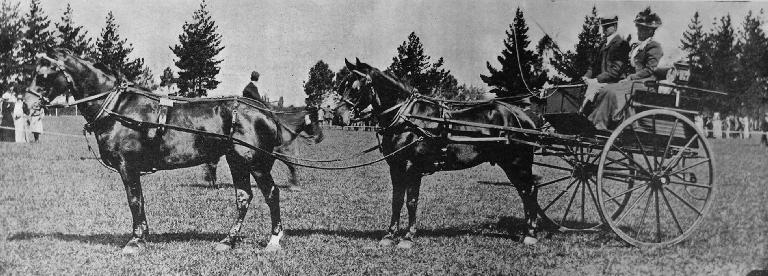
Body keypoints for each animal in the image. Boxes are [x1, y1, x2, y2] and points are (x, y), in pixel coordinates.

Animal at [24, 48, 324, 253]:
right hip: (237, 161)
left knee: (271, 194)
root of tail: (266, 112)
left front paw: (136, 240)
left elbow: (135, 201)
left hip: (256, 163)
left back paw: (274, 239)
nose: (27, 104)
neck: (119, 107)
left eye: (43, 74)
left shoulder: (127, 166)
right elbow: (140, 201)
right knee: (243, 197)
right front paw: (143, 236)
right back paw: (228, 240)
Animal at [342, 58, 540, 248]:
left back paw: (530, 234)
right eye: (344, 83)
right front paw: (390, 235)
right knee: (526, 191)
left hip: (517, 163)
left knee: (529, 190)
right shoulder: (396, 167)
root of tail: (524, 117)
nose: (339, 115)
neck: (409, 119)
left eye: (356, 87)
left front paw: (408, 237)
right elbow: (396, 200)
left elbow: (411, 201)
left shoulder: (412, 168)